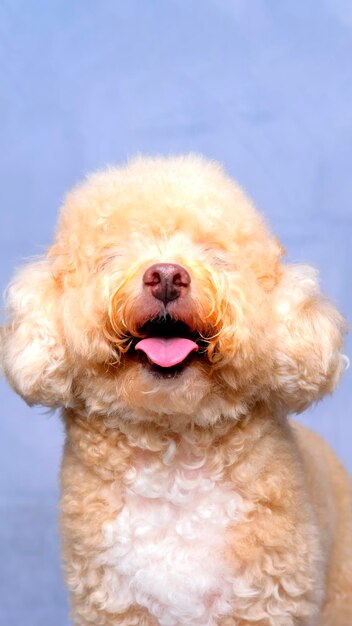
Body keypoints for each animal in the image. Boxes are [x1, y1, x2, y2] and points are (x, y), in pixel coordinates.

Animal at [0, 152, 352, 624]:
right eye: (112, 255)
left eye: (214, 255)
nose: (166, 275)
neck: (173, 460)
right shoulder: (115, 603)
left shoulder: (266, 600)